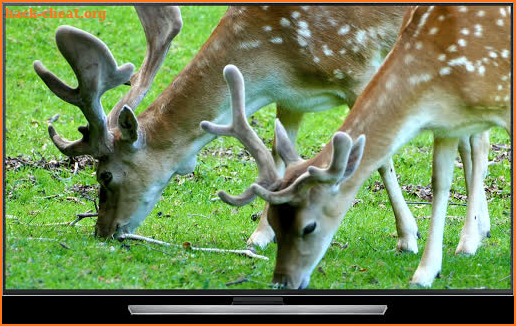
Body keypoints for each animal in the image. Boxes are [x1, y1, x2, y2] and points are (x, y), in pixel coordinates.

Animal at [203, 5, 512, 288]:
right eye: (274, 221)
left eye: (309, 226)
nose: (282, 281)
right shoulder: (448, 122)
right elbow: (440, 180)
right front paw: (425, 273)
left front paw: (412, 240)